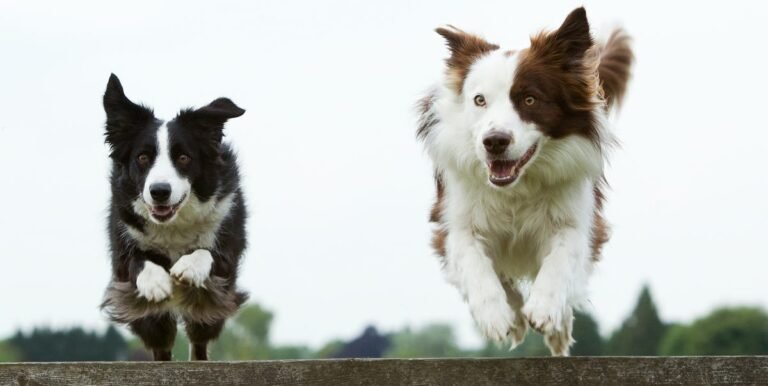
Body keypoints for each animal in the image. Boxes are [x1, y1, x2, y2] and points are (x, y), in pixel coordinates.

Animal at [100, 75, 248, 362]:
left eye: (183, 157)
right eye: (142, 157)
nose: (159, 191)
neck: (173, 224)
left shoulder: (226, 254)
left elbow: (208, 253)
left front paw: (188, 267)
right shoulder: (122, 246)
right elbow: (135, 261)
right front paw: (156, 282)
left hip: (208, 307)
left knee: (199, 337)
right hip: (153, 320)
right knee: (161, 342)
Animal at [416, 6, 632, 356]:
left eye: (529, 99)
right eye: (479, 100)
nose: (494, 142)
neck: (517, 187)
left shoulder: (577, 218)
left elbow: (561, 258)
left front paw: (545, 310)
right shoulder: (454, 220)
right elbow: (474, 262)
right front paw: (497, 316)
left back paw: (558, 330)